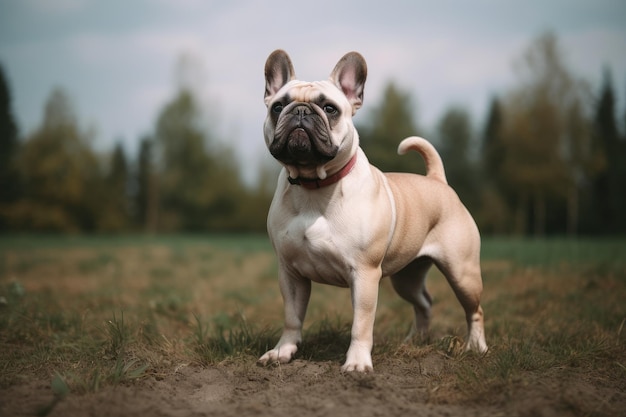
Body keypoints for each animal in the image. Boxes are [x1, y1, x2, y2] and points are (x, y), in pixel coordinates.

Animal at [256, 48, 486, 370]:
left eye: (329, 109)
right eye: (278, 106)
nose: (300, 111)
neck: (315, 184)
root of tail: (437, 180)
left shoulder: (364, 274)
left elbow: (361, 323)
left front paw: (357, 363)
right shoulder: (290, 273)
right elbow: (292, 317)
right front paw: (283, 351)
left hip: (462, 272)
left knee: (474, 310)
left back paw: (476, 347)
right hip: (407, 277)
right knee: (424, 303)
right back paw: (415, 340)